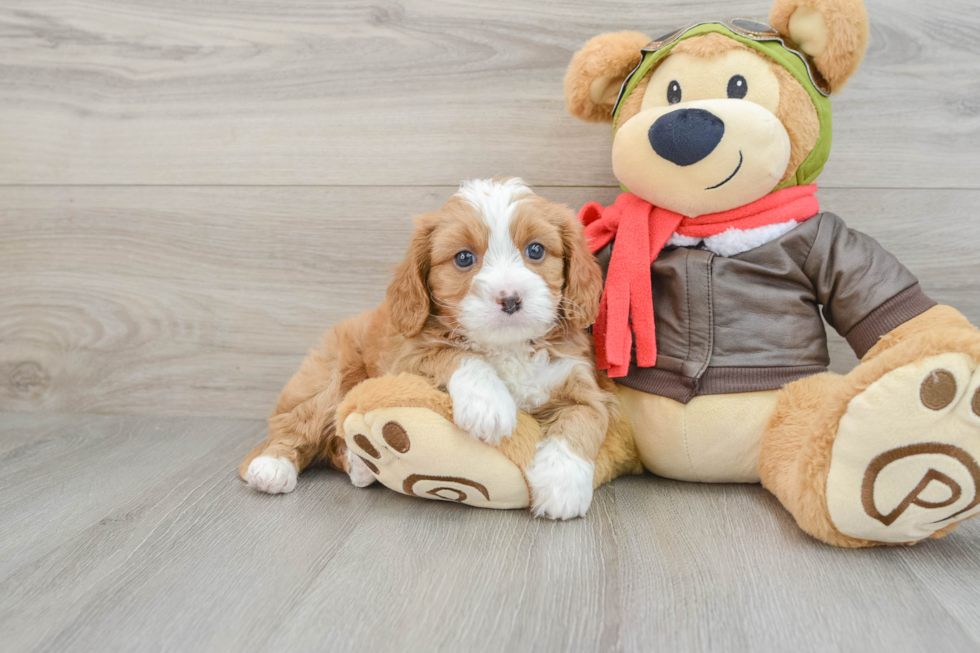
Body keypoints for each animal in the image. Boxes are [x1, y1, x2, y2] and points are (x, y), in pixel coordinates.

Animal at [239, 178, 620, 520]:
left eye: (536, 250)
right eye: (464, 258)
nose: (511, 299)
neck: (506, 346)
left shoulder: (580, 381)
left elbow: (583, 421)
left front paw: (562, 486)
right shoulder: (406, 357)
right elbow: (454, 354)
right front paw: (489, 404)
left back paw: (359, 464)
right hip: (332, 375)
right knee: (297, 422)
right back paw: (273, 466)